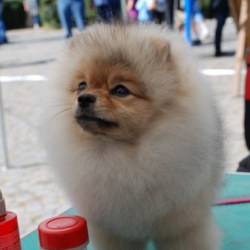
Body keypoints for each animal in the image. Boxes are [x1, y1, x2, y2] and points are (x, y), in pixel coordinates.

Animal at [42, 22, 224, 250]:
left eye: (120, 90)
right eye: (82, 85)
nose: (84, 98)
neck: (121, 154)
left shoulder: (182, 228)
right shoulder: (116, 233)